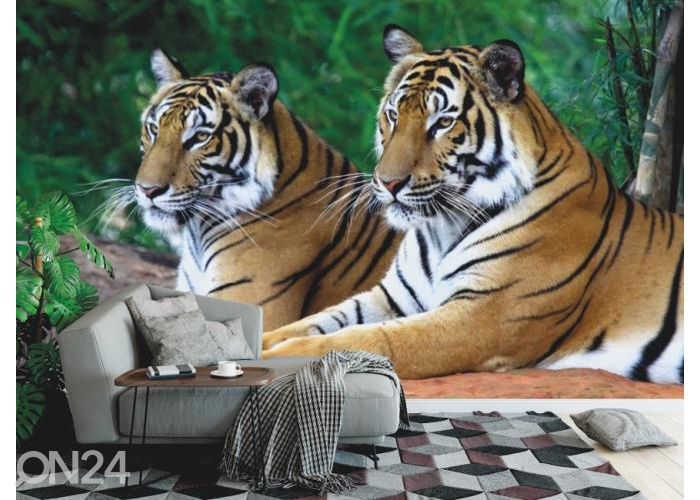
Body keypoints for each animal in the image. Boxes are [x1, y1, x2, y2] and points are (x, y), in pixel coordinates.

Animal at [262, 25, 684, 384]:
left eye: (442, 123)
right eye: (393, 115)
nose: (388, 183)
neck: (441, 226)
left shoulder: (482, 315)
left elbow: (364, 340)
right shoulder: (393, 297)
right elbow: (312, 322)